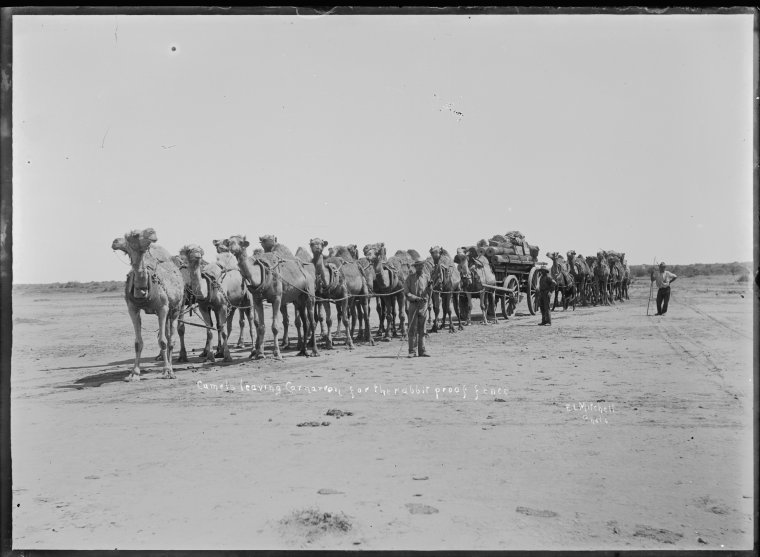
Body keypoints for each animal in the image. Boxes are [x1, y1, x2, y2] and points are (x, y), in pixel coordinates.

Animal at [111, 228, 184, 380]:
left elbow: (162, 341)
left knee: (171, 340)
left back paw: (171, 368)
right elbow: (138, 342)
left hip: (176, 308)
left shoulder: (162, 308)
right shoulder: (132, 309)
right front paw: (134, 373)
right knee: (167, 335)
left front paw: (166, 371)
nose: (152, 232)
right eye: (134, 235)